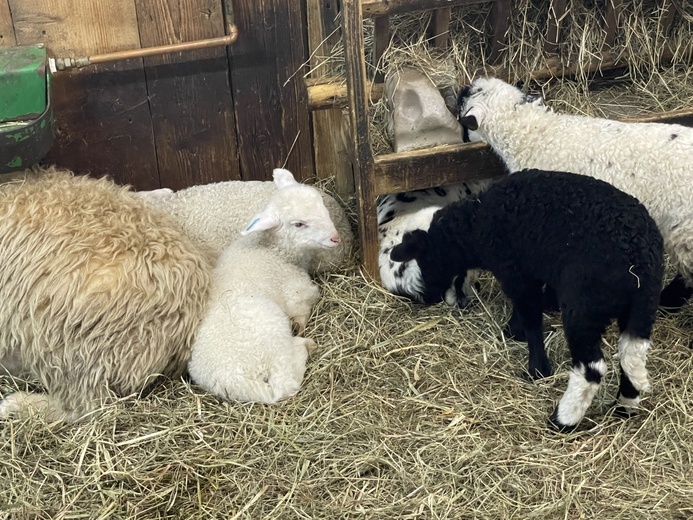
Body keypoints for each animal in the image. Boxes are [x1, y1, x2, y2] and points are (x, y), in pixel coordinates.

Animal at [188, 169, 342, 404]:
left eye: (321, 205)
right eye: (298, 224)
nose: (335, 238)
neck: (273, 250)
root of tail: (234, 379)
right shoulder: (297, 290)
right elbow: (305, 305)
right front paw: (300, 323)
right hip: (273, 337)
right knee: (284, 384)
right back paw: (305, 344)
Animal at [392, 168, 664, 430]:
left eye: (424, 259)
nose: (427, 297)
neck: (476, 224)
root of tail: (639, 260)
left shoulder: (515, 273)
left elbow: (531, 318)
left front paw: (536, 367)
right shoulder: (534, 271)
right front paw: (516, 331)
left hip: (584, 307)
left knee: (592, 368)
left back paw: (563, 420)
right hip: (641, 308)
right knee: (632, 355)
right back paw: (626, 406)